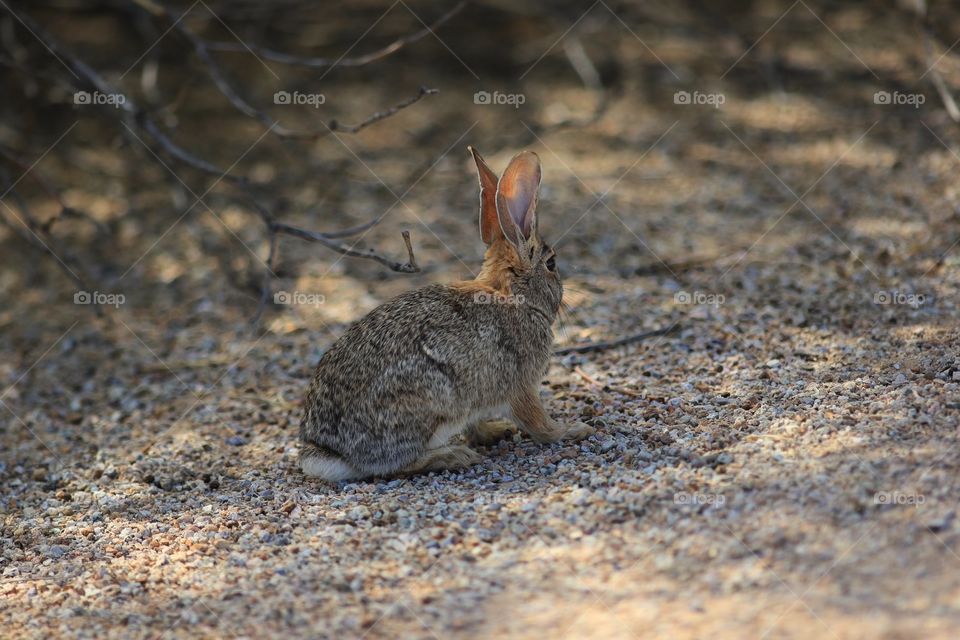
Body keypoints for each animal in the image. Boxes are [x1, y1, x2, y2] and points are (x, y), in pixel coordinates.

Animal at [300, 149, 596, 480]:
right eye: (552, 263)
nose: (565, 290)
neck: (513, 295)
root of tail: (331, 453)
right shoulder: (521, 384)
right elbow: (536, 421)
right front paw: (570, 431)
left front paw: (495, 430)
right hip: (431, 404)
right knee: (399, 464)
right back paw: (452, 456)